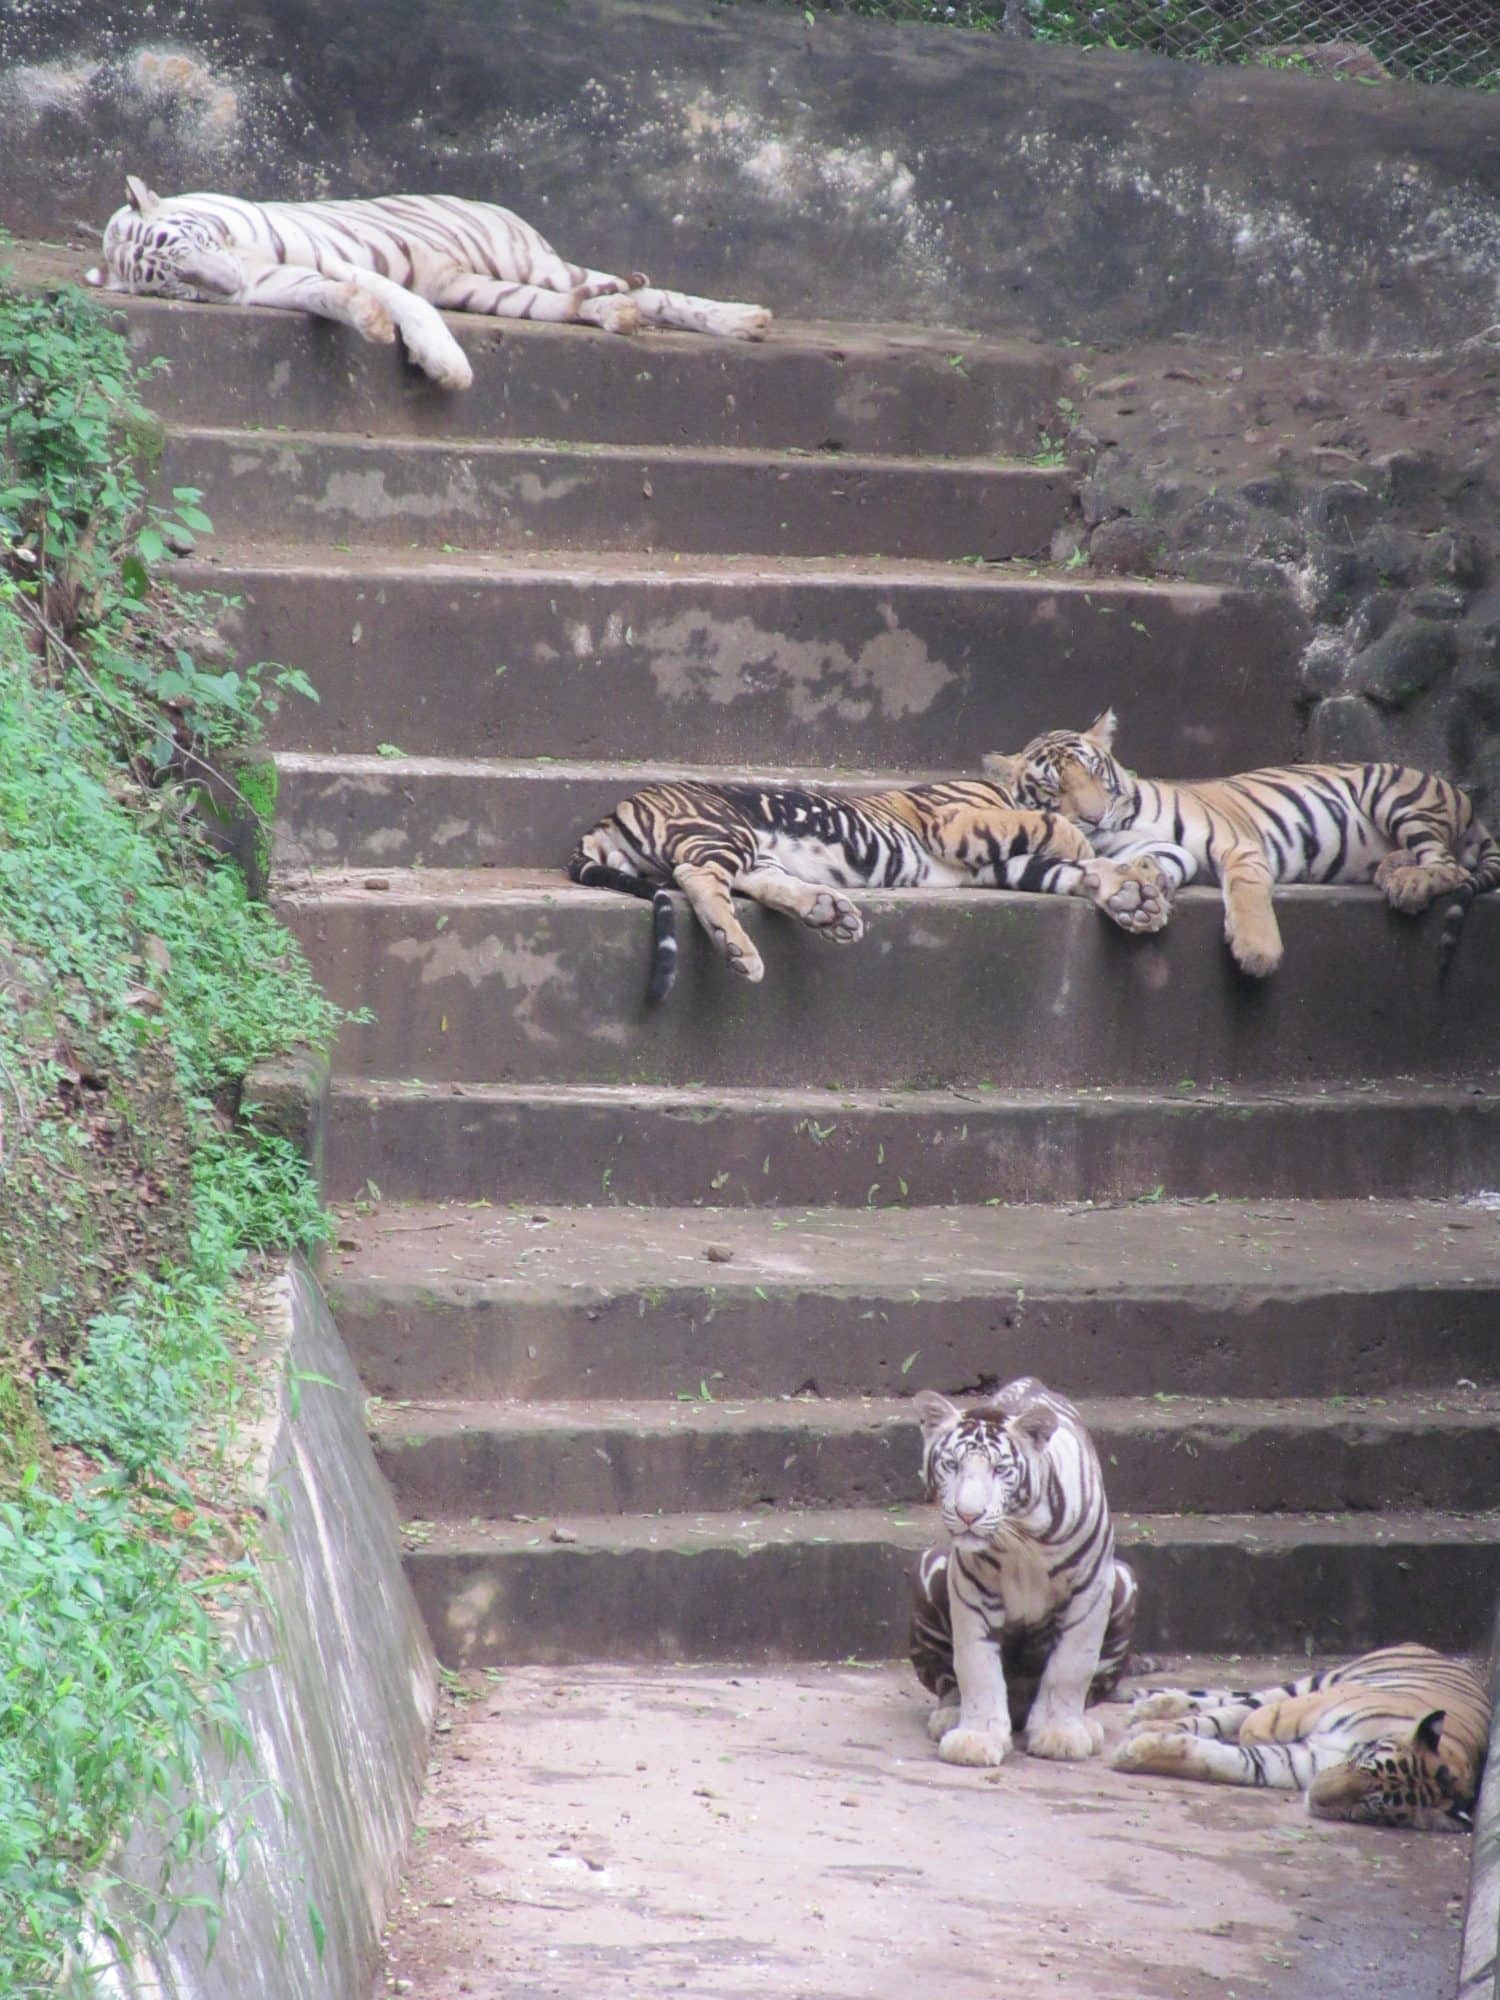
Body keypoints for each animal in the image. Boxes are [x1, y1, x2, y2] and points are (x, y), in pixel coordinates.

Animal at [85, 179, 771, 390]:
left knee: (650, 293)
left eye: (188, 250)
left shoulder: (327, 258)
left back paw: (745, 319)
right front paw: (366, 318)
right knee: (580, 303)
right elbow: (325, 295)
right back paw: (611, 313)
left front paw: (444, 364)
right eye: (177, 284)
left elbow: (403, 298)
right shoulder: (277, 283)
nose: (226, 287)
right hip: (490, 290)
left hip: (527, 263)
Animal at [568, 776, 1177, 1001]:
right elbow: (1058, 834)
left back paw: (828, 912)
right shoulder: (957, 825)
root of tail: (606, 817)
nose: (1102, 812)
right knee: (699, 878)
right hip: (722, 828)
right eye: (1065, 781)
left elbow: (1066, 869)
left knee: (761, 883)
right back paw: (739, 949)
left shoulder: (999, 865)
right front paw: (1117, 866)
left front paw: (1135, 898)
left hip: (756, 851)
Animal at [908, 1377, 1137, 1767]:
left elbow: (1070, 1667)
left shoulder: (1091, 1588)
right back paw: (952, 1715)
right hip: (930, 1572)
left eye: (1000, 1470)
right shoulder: (971, 1589)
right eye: (952, 1465)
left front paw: (1060, 1735)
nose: (968, 1515)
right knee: (949, 1681)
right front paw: (976, 1737)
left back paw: (1085, 1727)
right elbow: (977, 1667)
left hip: (1123, 1583)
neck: (1021, 1537)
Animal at [986, 709, 1500, 977]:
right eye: (1053, 788)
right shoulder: (1159, 852)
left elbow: (1248, 894)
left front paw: (1257, 953)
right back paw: (1394, 871)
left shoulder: (1239, 847)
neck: (1121, 822)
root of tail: (1465, 801)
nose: (1093, 817)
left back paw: (1409, 884)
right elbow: (1150, 861)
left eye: (1094, 773)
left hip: (1394, 795)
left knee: (1448, 864)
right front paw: (1138, 896)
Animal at [1112, 1644, 1489, 1830]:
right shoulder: (1312, 1705)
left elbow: (1233, 1760)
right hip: (1321, 1681)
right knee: (1244, 1700)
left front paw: (1138, 1751)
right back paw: (1150, 1711)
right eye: (1365, 1765)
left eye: (1373, 1807)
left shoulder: (1297, 1761)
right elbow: (1254, 1722)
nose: (1315, 1796)